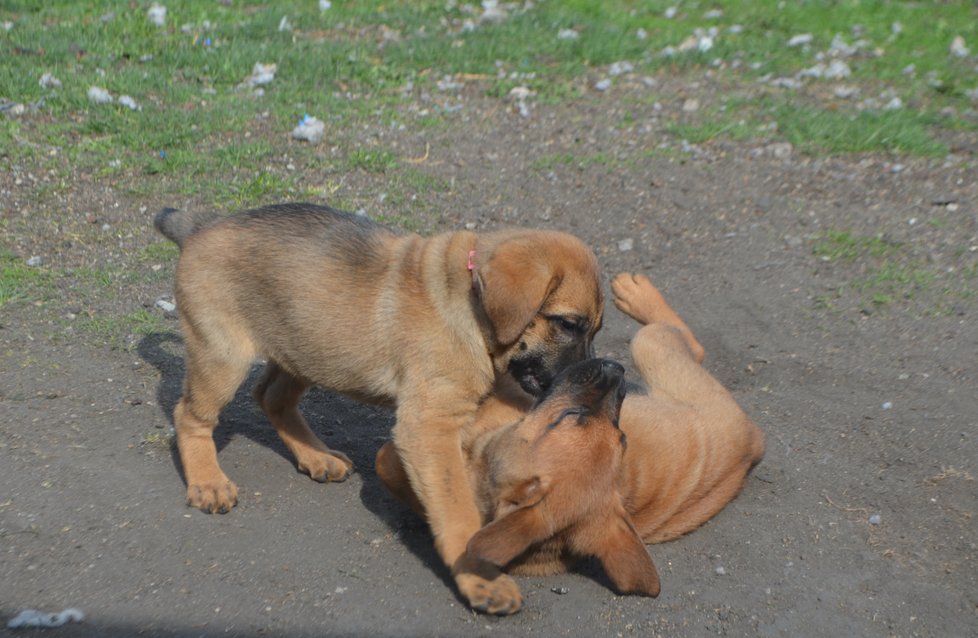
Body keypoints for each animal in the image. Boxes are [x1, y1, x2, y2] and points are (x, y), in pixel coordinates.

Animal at [153, 204, 604, 616]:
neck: (470, 305)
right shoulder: (428, 427)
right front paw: (480, 577)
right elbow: (457, 507)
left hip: (309, 347)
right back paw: (208, 482)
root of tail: (200, 226)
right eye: (568, 324)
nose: (601, 371)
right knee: (189, 415)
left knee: (270, 396)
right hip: (223, 355)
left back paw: (316, 457)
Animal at [374, 272, 764, 604]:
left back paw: (636, 292)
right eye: (622, 437)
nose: (615, 370)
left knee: (686, 342)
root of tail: (755, 439)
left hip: (651, 347)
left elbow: (387, 460)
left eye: (568, 416)